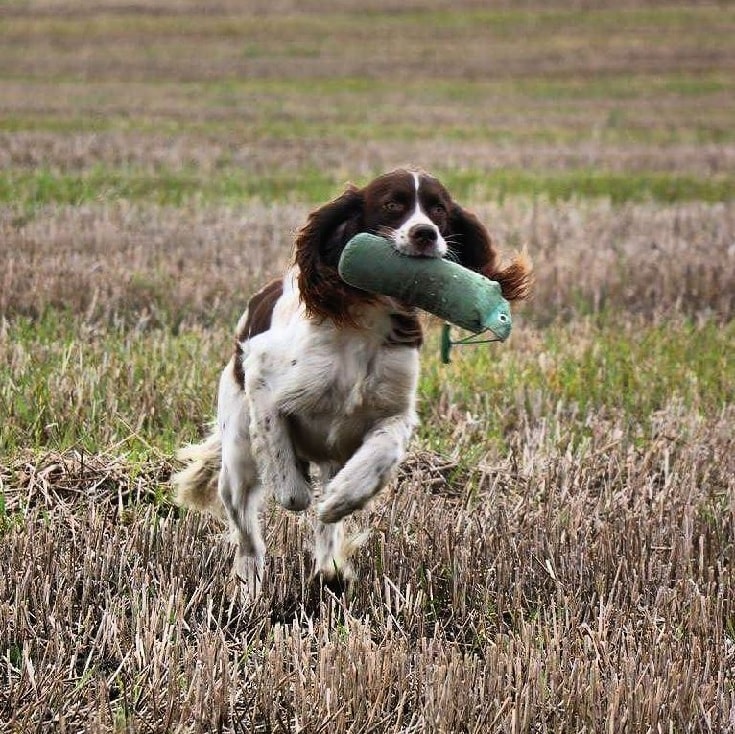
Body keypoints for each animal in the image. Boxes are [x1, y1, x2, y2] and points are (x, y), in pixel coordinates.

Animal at [172, 171, 532, 600]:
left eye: (439, 209)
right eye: (392, 204)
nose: (425, 234)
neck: (367, 324)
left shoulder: (393, 413)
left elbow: (377, 459)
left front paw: (341, 500)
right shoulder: (262, 375)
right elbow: (287, 480)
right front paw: (296, 486)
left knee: (324, 523)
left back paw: (330, 570)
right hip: (238, 450)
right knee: (246, 532)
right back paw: (249, 590)